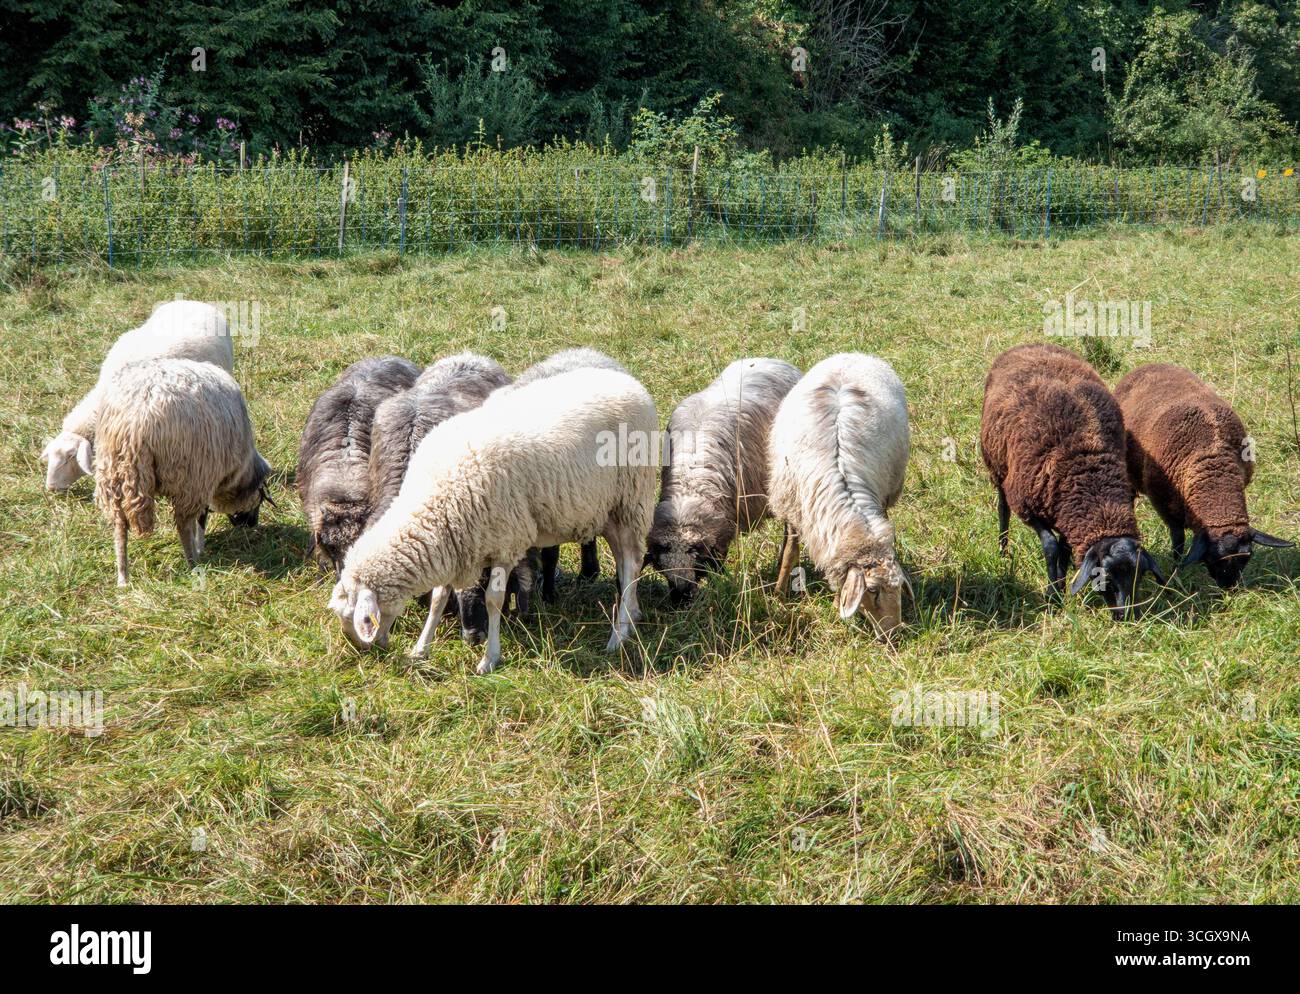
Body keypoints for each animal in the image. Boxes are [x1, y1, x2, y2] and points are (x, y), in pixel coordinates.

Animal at [94, 358, 271, 587]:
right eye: (261, 496)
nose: (252, 524)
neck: (240, 469)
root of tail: (136, 422)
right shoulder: (204, 477)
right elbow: (201, 518)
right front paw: (200, 547)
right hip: (187, 475)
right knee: (183, 524)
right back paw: (193, 563)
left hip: (112, 473)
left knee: (119, 527)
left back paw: (123, 577)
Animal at [767, 353, 910, 632]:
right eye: (873, 590)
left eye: (899, 587)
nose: (894, 633)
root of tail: (854, 354)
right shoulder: (793, 508)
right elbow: (790, 552)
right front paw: (779, 595)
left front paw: (836, 604)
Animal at [980, 343, 1164, 617]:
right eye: (1104, 577)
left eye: (1139, 577)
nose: (1125, 616)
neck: (1089, 477)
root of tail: (1028, 344)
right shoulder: (1026, 503)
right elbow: (1051, 546)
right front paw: (1053, 595)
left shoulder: (1067, 512)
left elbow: (1065, 550)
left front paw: (1062, 585)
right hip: (998, 464)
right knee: (1003, 508)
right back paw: (1003, 550)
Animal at [1114, 363, 1292, 588]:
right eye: (1211, 557)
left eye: (1247, 557)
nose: (1229, 588)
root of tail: (1149, 365)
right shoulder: (1165, 505)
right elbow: (1178, 541)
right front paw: (1176, 569)